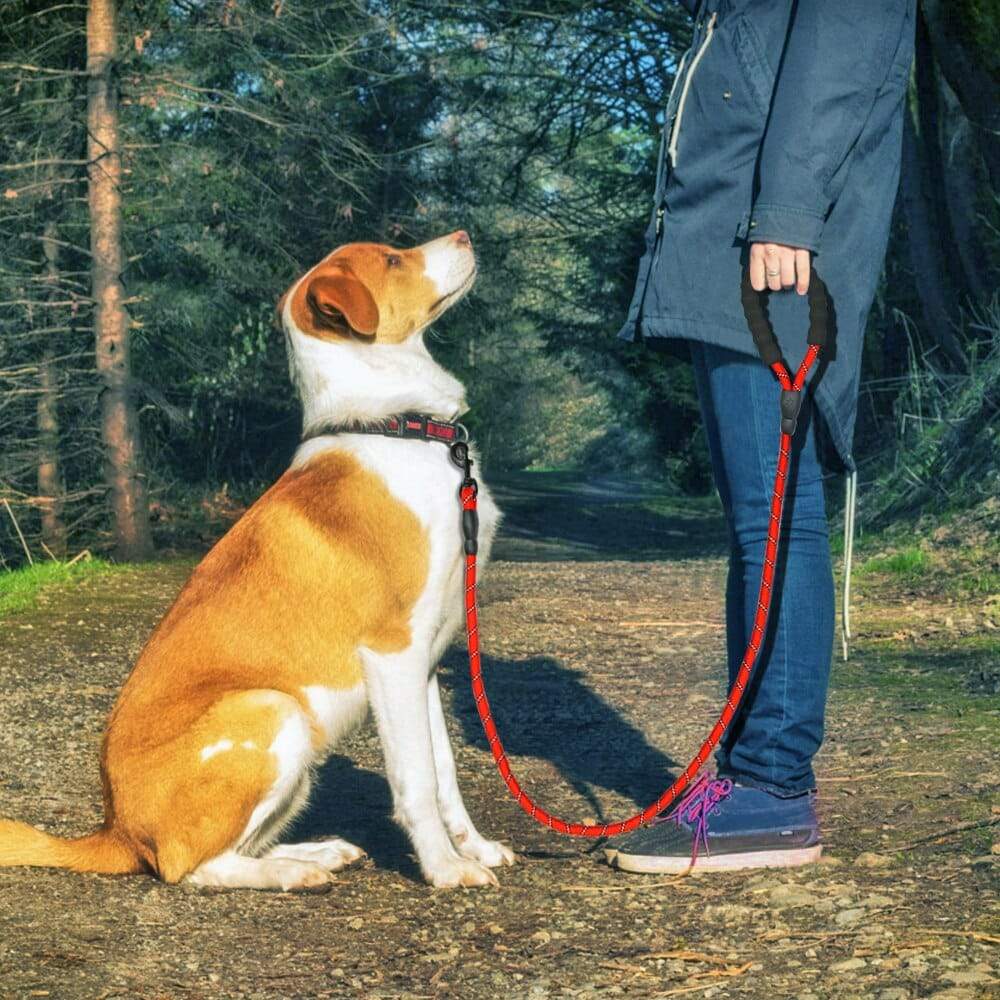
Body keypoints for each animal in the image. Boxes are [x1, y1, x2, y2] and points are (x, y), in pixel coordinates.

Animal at [0, 232, 512, 892]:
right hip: (274, 709)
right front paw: (445, 870)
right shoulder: (392, 653)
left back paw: (314, 853)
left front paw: (473, 849)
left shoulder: (424, 661)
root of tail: (116, 831)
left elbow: (444, 774)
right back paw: (293, 872)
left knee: (238, 847)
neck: (393, 425)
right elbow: (417, 781)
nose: (466, 237)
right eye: (393, 259)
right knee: (191, 867)